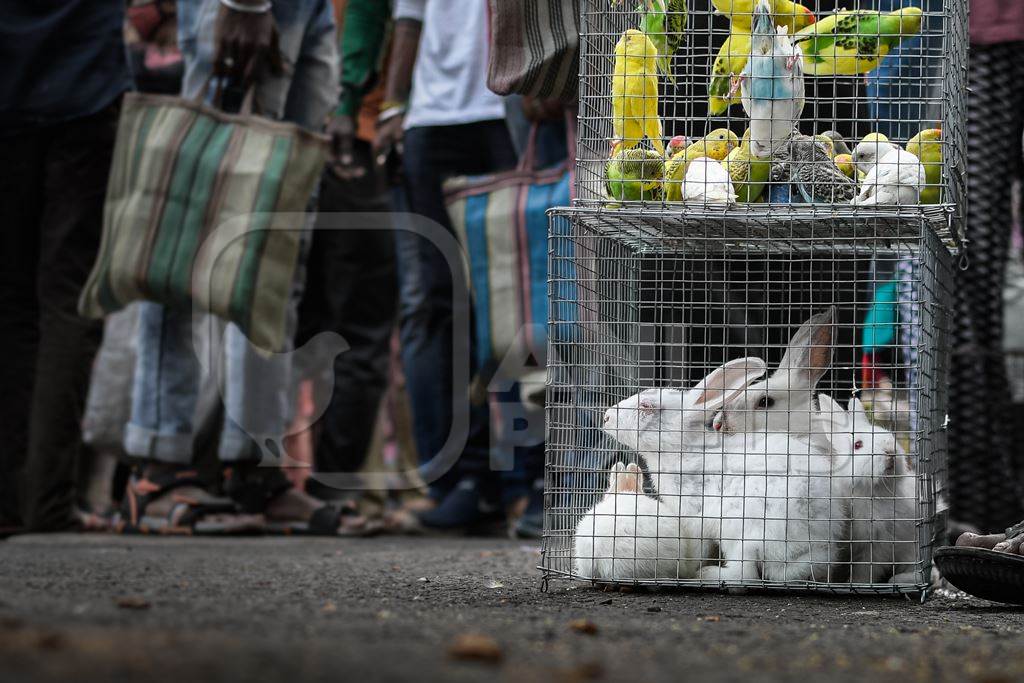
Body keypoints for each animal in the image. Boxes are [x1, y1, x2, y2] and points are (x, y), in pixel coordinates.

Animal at [815, 395, 921, 581]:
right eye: (858, 445)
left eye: (888, 434)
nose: (890, 452)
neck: (867, 493)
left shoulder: (877, 546)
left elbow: (865, 570)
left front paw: (857, 583)